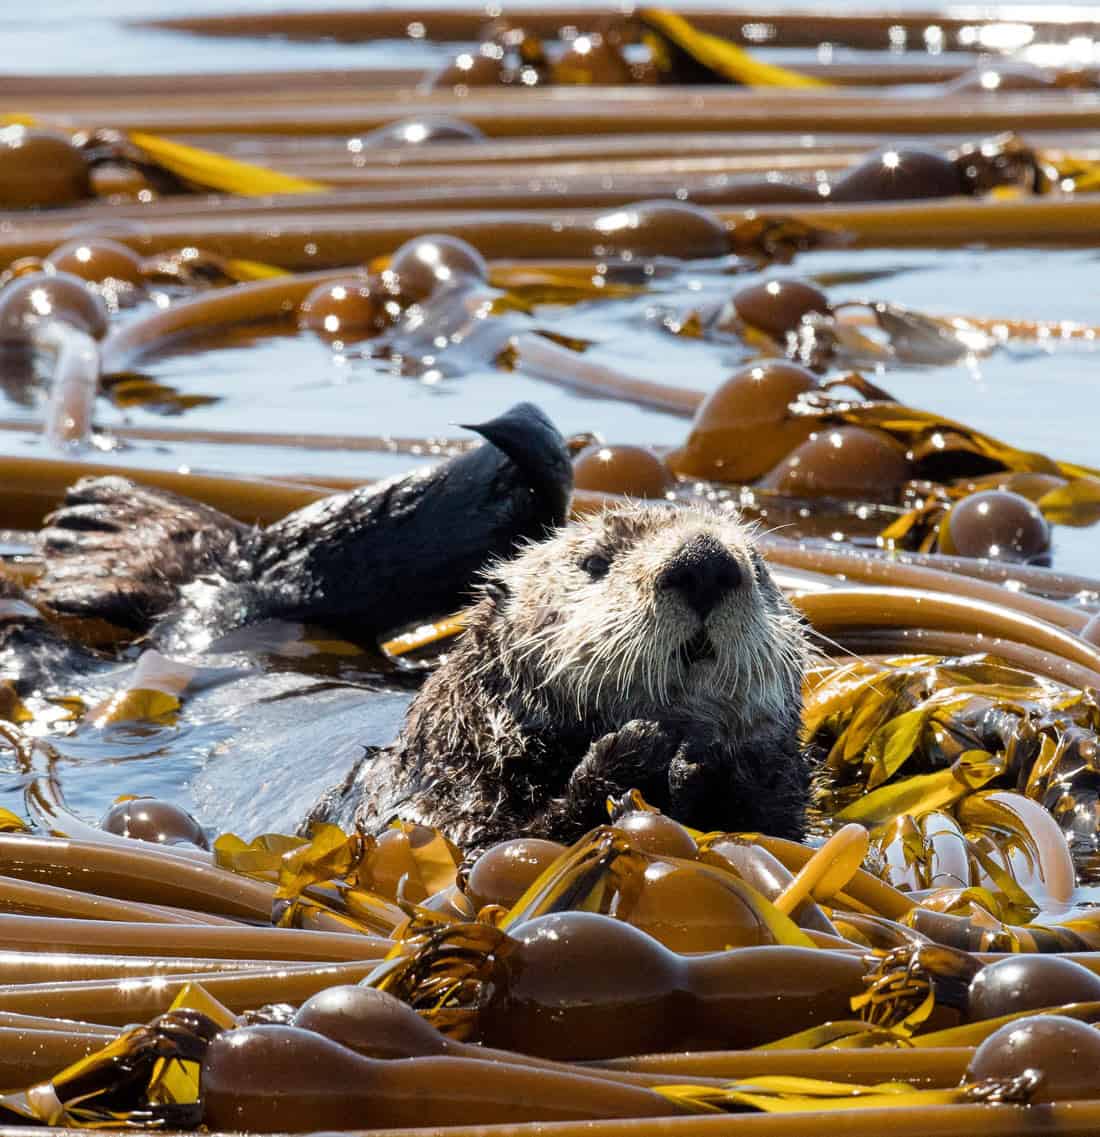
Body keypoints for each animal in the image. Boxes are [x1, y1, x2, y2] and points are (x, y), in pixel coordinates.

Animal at [311, 503, 811, 848]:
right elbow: (493, 848)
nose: (705, 561)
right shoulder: (431, 806)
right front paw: (636, 749)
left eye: (758, 565)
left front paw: (706, 764)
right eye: (594, 562)